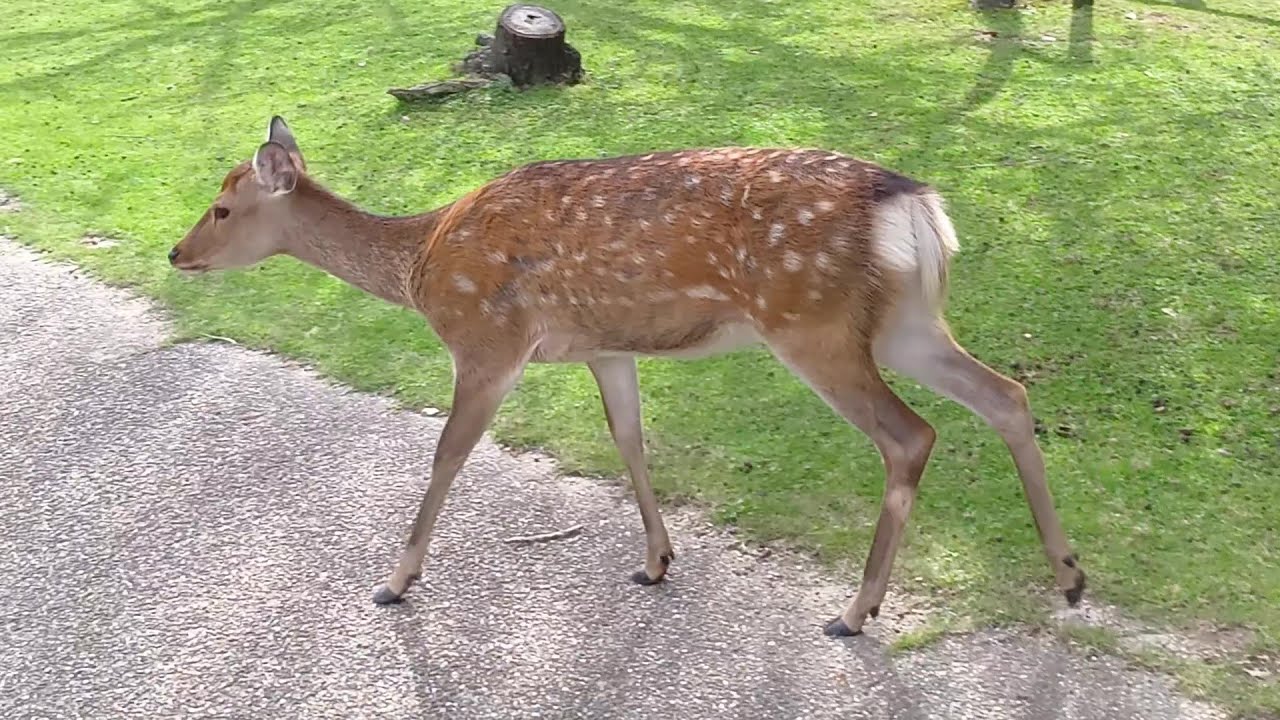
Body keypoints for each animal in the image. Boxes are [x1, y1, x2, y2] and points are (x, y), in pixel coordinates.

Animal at [168, 116, 1086, 637]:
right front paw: (656, 561)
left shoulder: (488, 342)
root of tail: (915, 206)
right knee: (1007, 394)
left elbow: (447, 453)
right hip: (902, 323)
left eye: (223, 207)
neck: (424, 265)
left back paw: (856, 612)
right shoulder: (605, 346)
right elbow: (629, 438)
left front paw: (395, 582)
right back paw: (1069, 576)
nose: (177, 252)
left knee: (912, 434)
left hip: (813, 324)